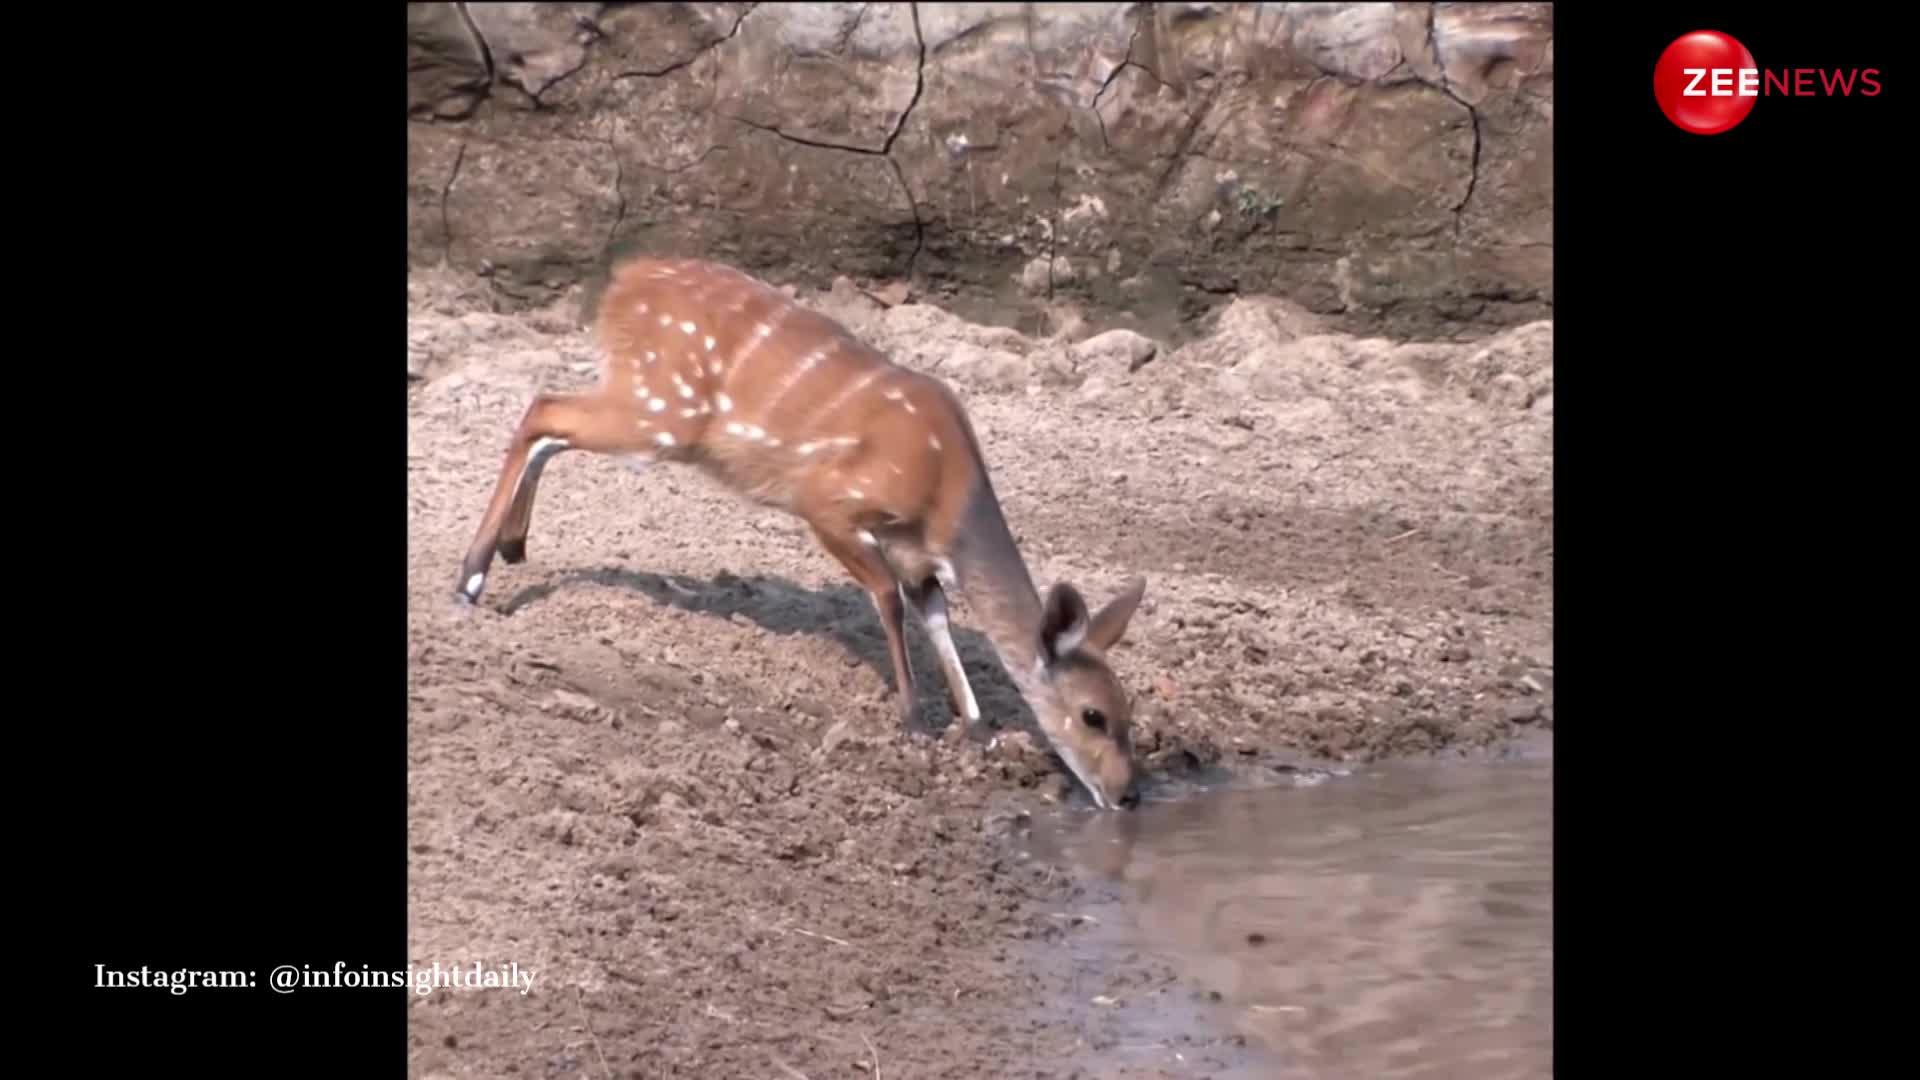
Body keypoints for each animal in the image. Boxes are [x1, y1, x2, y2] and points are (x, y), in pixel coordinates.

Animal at [456, 255, 1144, 803]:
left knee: (550, 423)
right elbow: (888, 600)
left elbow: (936, 615)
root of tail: (624, 280)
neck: (945, 489)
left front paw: (977, 727)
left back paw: (511, 548)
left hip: (648, 410)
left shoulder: (916, 555)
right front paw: (915, 719)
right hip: (661, 413)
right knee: (543, 407)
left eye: (1128, 712)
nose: (1127, 796)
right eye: (1093, 715)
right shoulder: (827, 504)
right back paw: (470, 579)